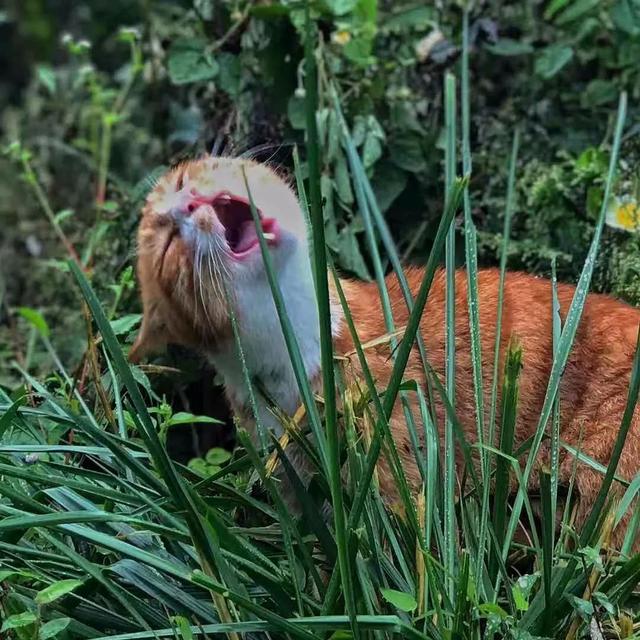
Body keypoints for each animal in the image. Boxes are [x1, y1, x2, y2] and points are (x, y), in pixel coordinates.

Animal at [130, 156, 640, 552]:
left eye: (184, 179)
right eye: (170, 243)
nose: (188, 204)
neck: (293, 363)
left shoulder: (400, 442)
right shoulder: (292, 476)